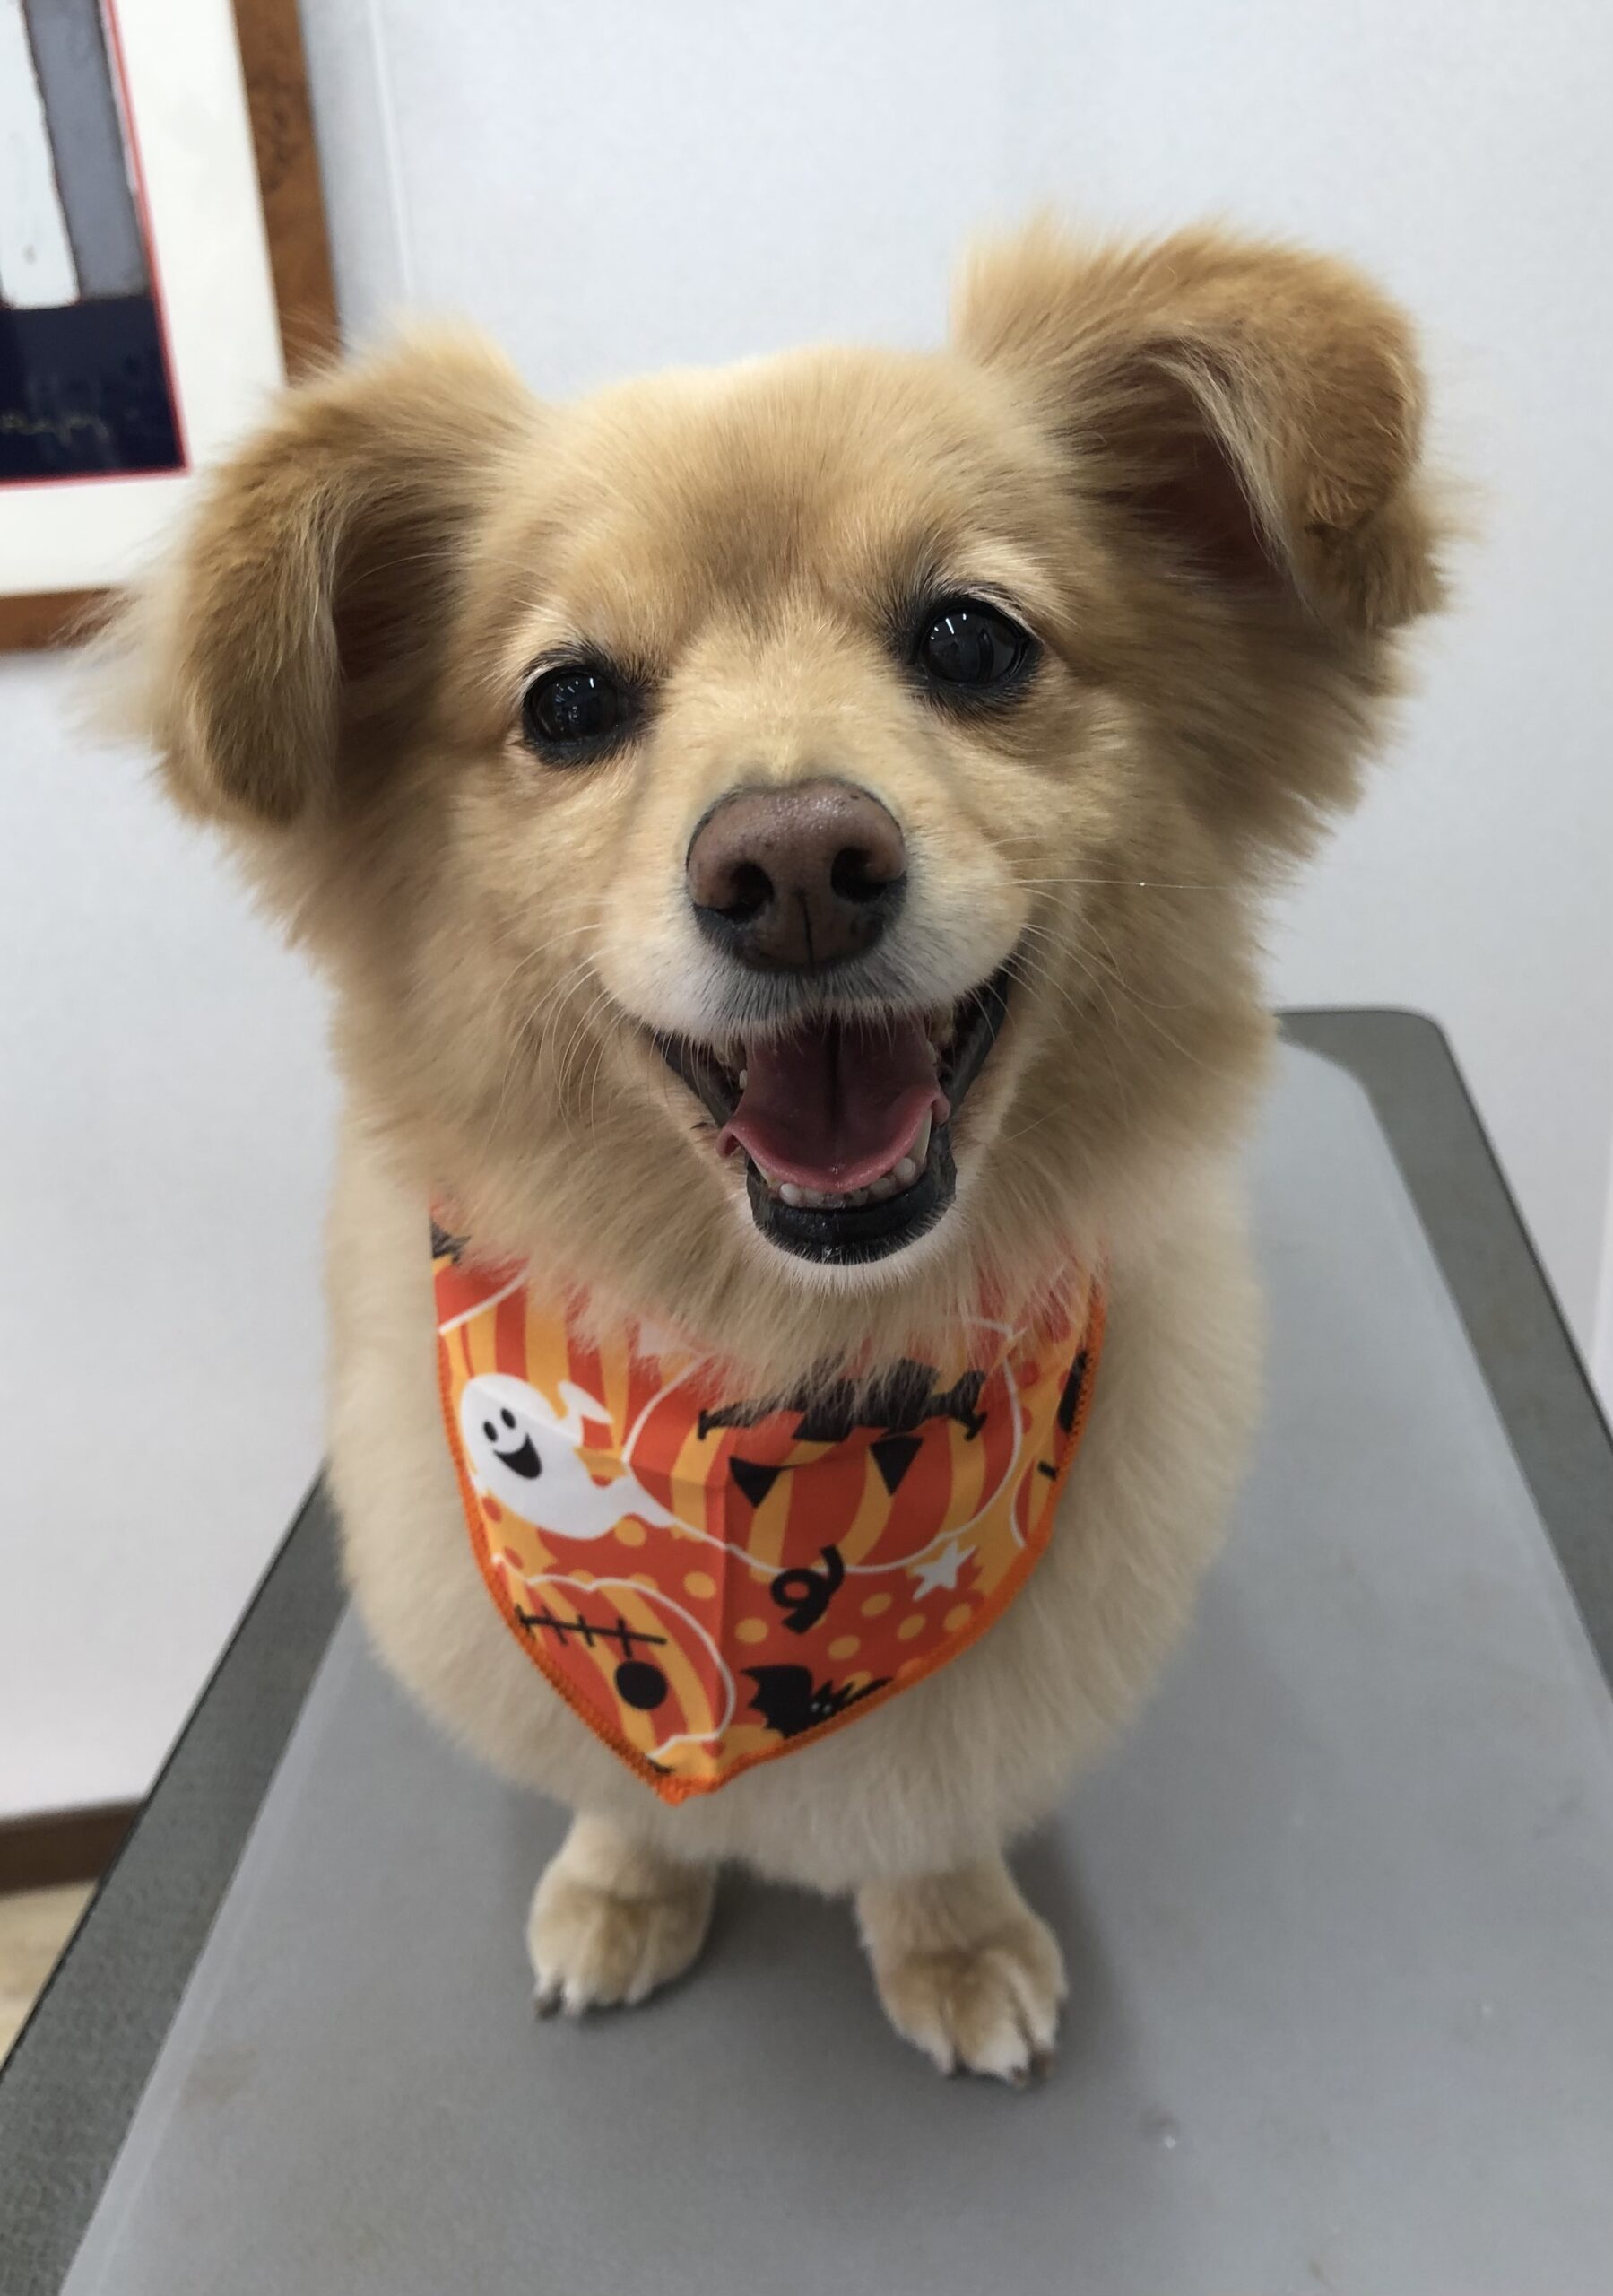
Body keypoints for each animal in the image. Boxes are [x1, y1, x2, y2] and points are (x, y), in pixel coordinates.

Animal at [123, 222, 1445, 2081]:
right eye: (569, 702)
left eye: (968, 641)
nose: (795, 864)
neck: (791, 1369)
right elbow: (624, 1796)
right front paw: (625, 1885)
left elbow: (932, 1818)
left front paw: (949, 1934)